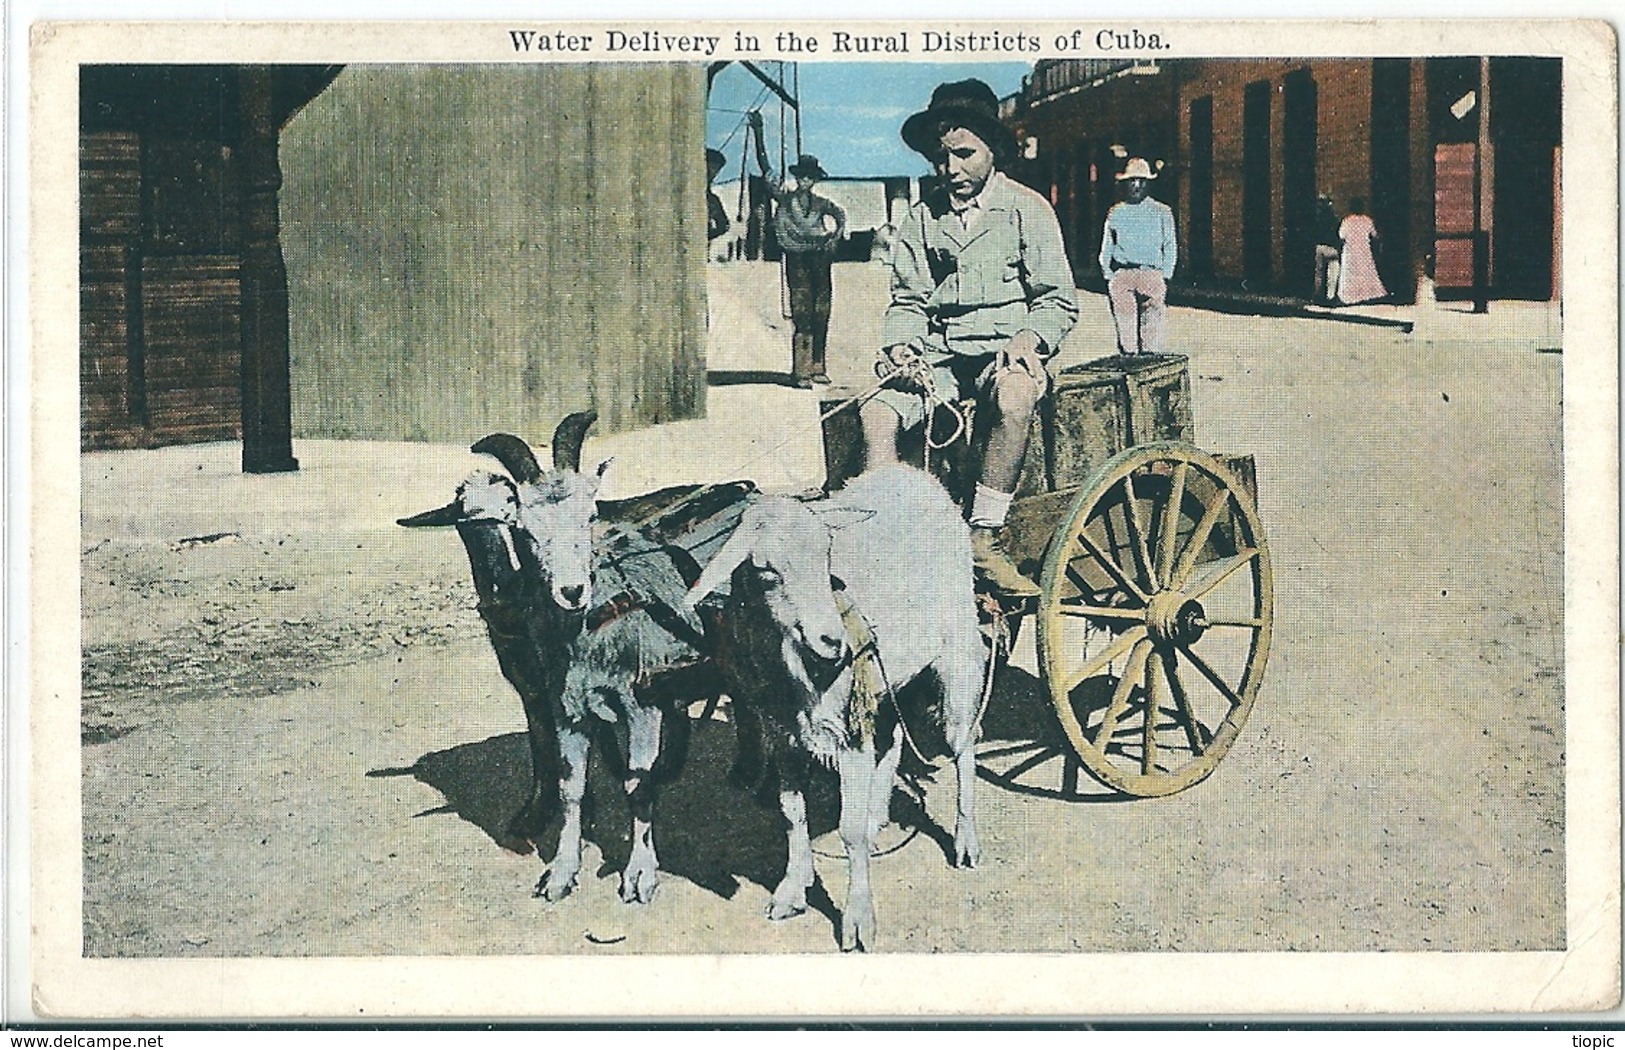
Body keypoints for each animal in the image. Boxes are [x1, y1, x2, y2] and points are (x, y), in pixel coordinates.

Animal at [682, 468, 981, 955]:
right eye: (766, 570)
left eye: (826, 556)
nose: (833, 641)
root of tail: (916, 474)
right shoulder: (782, 733)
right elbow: (791, 813)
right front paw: (793, 887)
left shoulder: (846, 735)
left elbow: (848, 831)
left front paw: (858, 918)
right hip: (883, 679)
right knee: (893, 737)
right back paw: (879, 813)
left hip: (959, 650)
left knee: (963, 745)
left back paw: (966, 839)